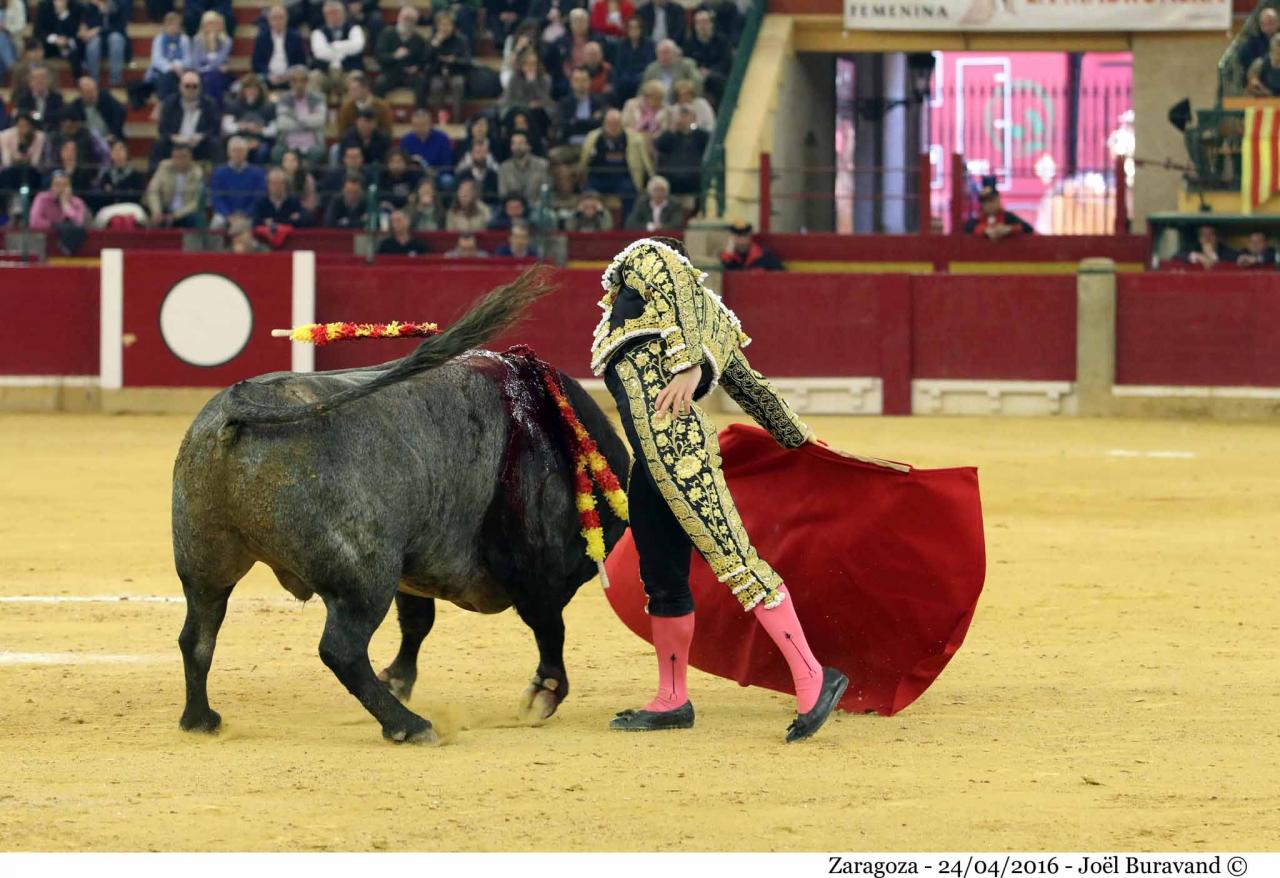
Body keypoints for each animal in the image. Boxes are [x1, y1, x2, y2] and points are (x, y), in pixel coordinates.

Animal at [171, 269, 630, 743]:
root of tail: (239, 409)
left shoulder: (417, 566)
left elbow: (417, 621)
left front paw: (397, 678)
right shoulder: (535, 565)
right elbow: (548, 624)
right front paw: (544, 694)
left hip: (205, 561)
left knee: (197, 634)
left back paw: (200, 719)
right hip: (364, 575)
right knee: (341, 650)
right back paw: (409, 725)